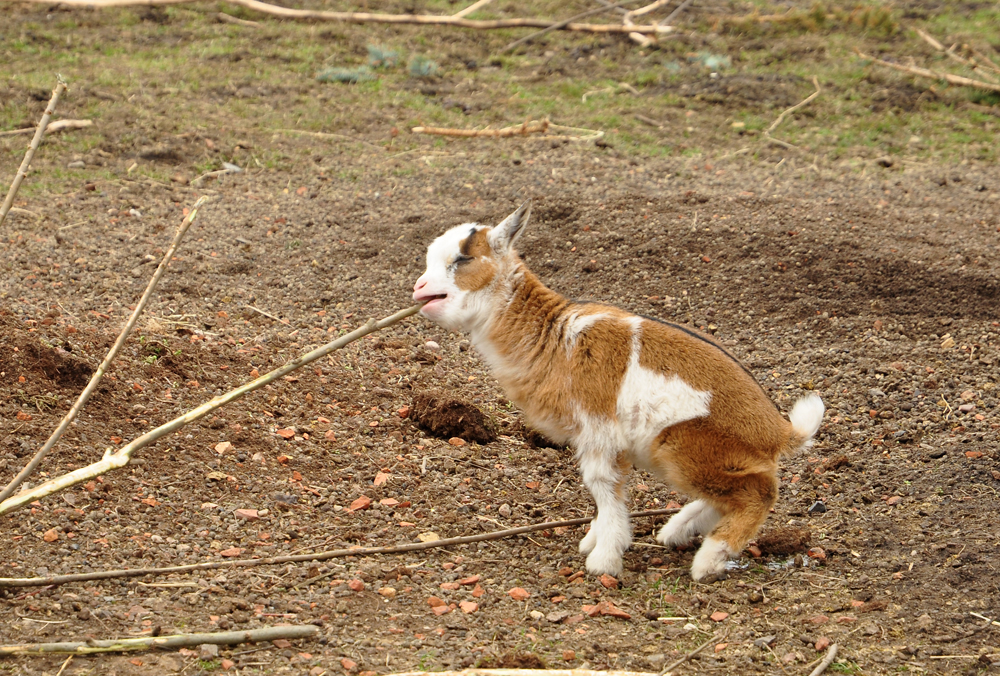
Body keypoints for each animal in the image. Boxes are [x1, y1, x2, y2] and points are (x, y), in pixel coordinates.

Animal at [410, 202, 824, 580]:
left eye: (463, 258)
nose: (420, 288)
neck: (556, 338)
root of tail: (779, 432)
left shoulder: (599, 431)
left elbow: (603, 486)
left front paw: (604, 559)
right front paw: (594, 541)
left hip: (688, 447)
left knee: (760, 492)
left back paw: (707, 561)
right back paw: (676, 532)